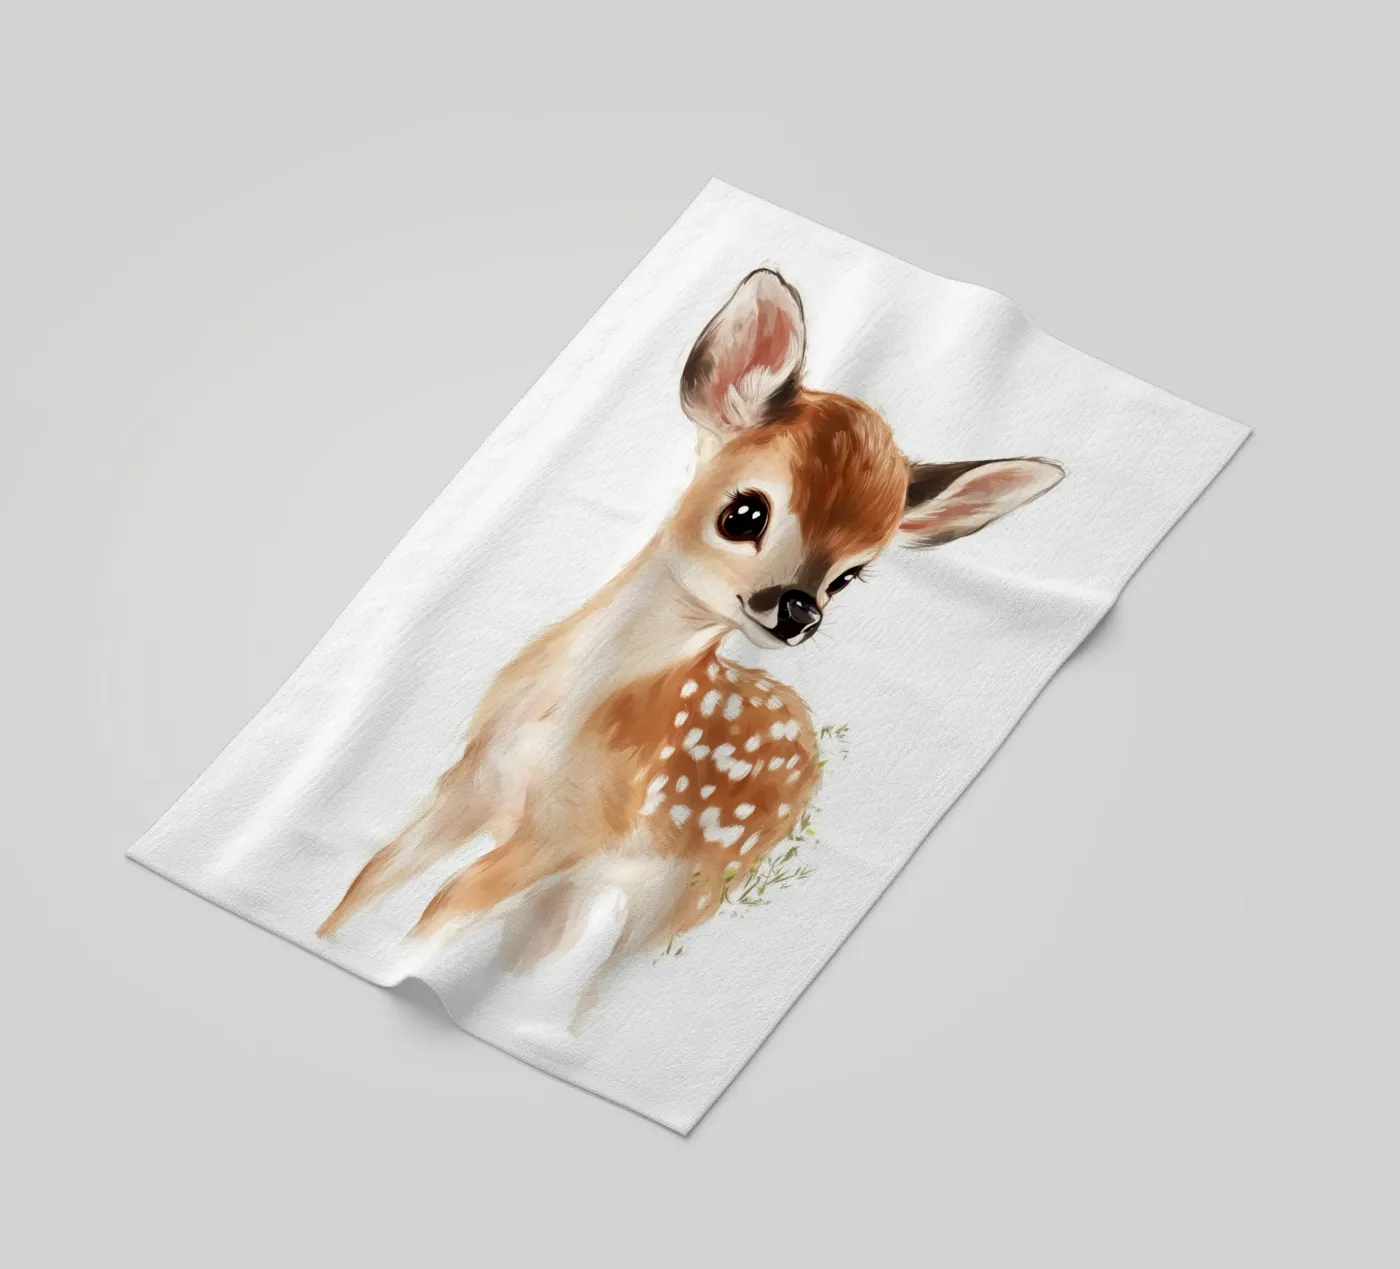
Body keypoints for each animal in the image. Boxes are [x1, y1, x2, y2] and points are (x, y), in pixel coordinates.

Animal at [317, 268, 1064, 1025]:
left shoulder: (571, 830)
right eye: (746, 512)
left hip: (698, 883)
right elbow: (370, 879)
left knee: (605, 980)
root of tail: (811, 744)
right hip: (595, 882)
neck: (568, 712)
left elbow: (433, 914)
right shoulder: (474, 783)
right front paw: (335, 936)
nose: (799, 609)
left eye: (850, 577)